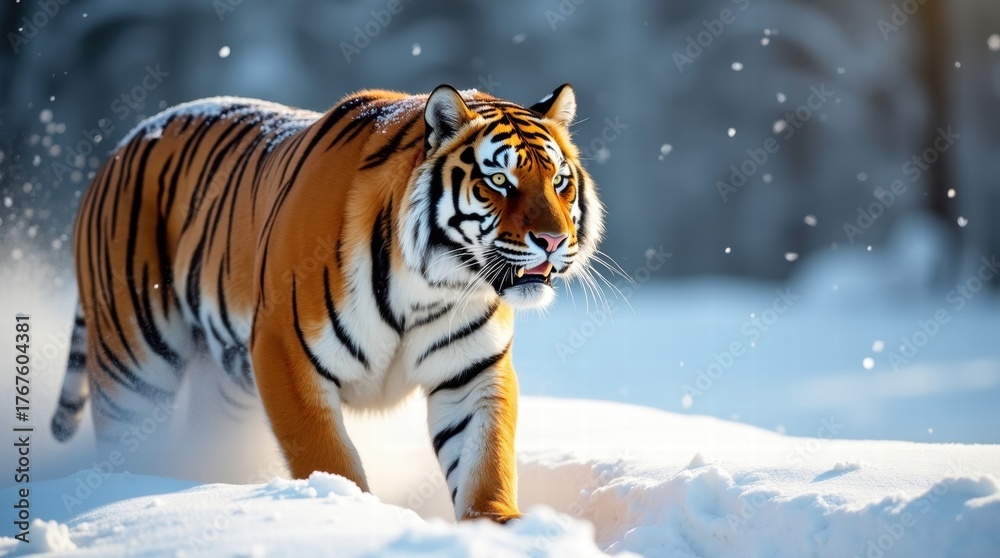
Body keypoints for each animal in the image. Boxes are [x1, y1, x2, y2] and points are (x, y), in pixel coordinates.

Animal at [50, 83, 604, 523]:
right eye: (498, 181)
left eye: (559, 181)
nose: (554, 240)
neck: (431, 286)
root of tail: (126, 142)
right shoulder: (284, 351)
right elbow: (327, 455)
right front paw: (350, 514)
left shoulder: (472, 370)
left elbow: (484, 459)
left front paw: (499, 527)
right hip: (133, 363)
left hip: (224, 383)